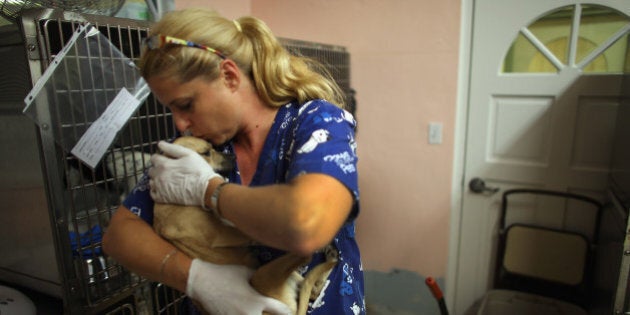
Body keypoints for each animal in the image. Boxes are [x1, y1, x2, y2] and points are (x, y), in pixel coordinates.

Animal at [154, 137, 338, 315]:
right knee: (305, 259)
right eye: (206, 152)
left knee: (314, 288)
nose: (233, 157)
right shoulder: (221, 233)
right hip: (262, 275)